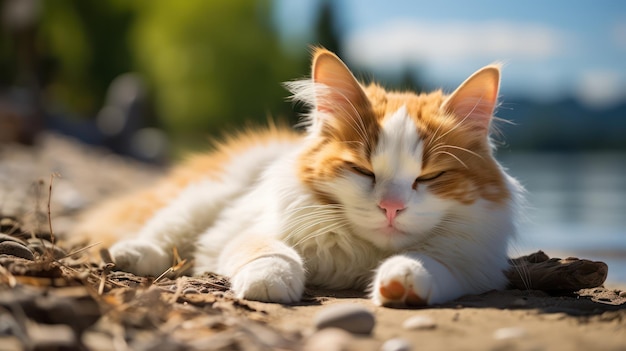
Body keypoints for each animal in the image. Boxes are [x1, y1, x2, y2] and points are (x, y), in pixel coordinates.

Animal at [73, 49, 520, 308]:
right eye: (362, 170)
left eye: (430, 176)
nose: (391, 208)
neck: (364, 256)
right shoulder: (249, 231)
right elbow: (271, 252)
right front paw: (270, 280)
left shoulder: (475, 265)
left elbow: (429, 263)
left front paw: (403, 279)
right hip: (209, 194)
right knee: (163, 232)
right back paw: (132, 253)